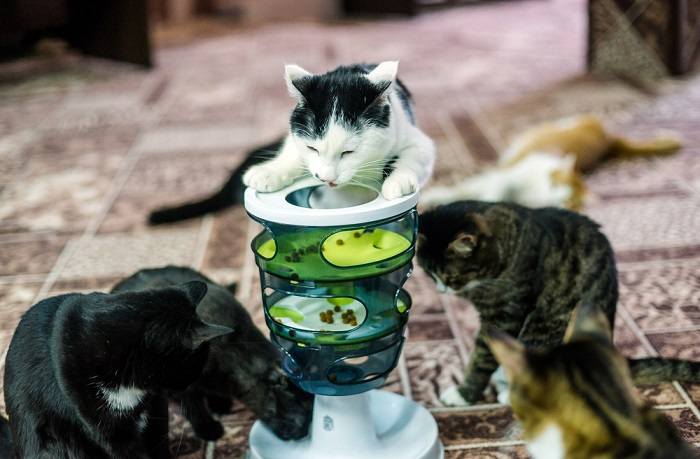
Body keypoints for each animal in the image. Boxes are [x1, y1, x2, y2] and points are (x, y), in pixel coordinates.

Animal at [4, 282, 231, 458]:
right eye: (194, 366)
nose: (189, 385)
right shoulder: (107, 428)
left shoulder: (156, 408)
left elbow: (159, 442)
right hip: (55, 442)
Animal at [416, 201, 700, 406]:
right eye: (430, 274)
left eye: (450, 277)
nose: (441, 290)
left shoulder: (505, 315)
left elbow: (481, 358)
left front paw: (463, 394)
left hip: (540, 338)